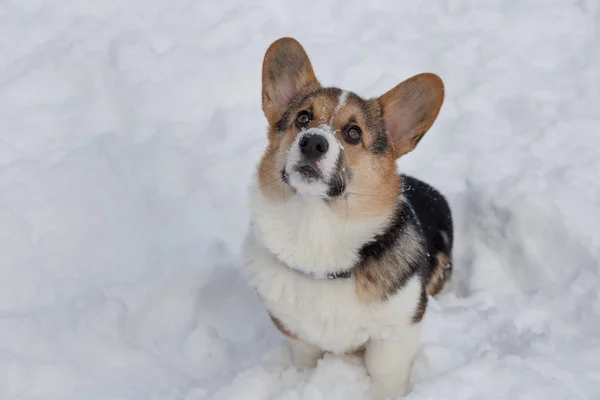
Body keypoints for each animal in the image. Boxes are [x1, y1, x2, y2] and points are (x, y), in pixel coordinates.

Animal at [241, 38, 452, 400]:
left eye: (354, 133)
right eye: (303, 118)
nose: (312, 142)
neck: (318, 234)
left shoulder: (395, 335)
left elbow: (386, 379)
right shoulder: (299, 336)